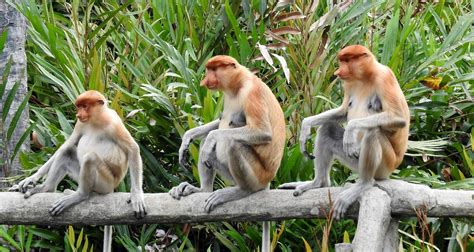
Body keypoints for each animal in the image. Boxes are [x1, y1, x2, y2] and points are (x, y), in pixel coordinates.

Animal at [10, 91, 146, 251]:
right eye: (78, 106)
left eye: (85, 106)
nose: (78, 114)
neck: (96, 120)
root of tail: (113, 187)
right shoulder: (80, 124)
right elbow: (67, 145)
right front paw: (31, 178)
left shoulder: (115, 124)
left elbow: (133, 149)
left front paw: (137, 196)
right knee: (67, 151)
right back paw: (45, 188)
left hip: (105, 183)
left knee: (90, 158)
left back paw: (80, 195)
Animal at [171, 55, 286, 250]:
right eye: (209, 70)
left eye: (214, 70)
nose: (205, 80)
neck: (238, 85)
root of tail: (269, 179)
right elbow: (219, 121)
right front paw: (188, 137)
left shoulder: (252, 93)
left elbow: (263, 132)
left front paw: (211, 137)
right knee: (208, 146)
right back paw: (202, 189)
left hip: (258, 175)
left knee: (234, 144)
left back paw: (241, 190)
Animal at [280, 44, 410, 220]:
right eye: (342, 61)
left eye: (347, 60)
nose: (338, 72)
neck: (364, 77)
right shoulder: (348, 83)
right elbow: (343, 111)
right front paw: (306, 125)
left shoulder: (385, 77)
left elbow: (399, 117)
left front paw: (350, 130)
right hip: (354, 161)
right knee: (327, 128)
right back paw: (318, 183)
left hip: (385, 165)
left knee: (373, 132)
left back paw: (364, 183)